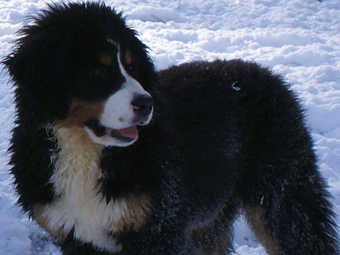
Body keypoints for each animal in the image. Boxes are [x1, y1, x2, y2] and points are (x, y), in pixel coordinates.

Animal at [1, 2, 338, 255]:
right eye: (97, 71)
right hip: (210, 216)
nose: (146, 103)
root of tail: (266, 73)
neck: (83, 151)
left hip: (282, 194)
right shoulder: (77, 235)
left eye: (131, 65)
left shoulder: (159, 228)